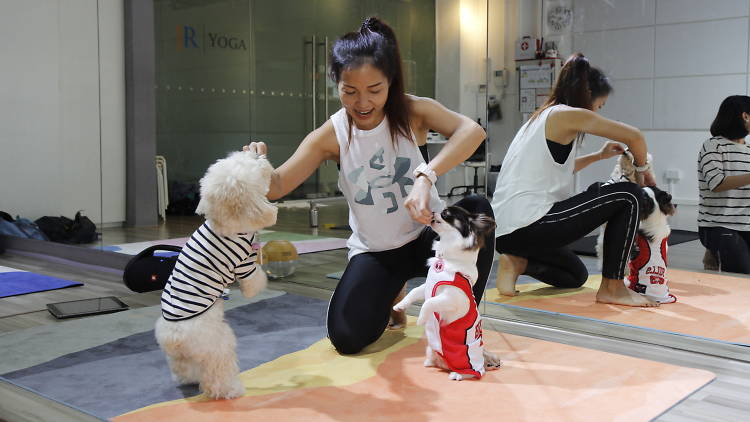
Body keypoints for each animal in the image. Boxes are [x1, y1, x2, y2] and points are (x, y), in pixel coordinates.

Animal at [156, 151, 280, 398]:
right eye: (252, 164)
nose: (258, 152)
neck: (223, 222)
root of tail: (174, 337)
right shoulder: (244, 264)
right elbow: (254, 282)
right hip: (219, 343)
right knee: (217, 374)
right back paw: (231, 390)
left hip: (180, 356)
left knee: (182, 367)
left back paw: (189, 378)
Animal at [394, 206, 500, 380]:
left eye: (446, 214)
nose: (432, 212)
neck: (446, 259)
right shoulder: (427, 286)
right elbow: (414, 292)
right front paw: (399, 306)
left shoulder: (451, 299)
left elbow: (428, 302)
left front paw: (421, 319)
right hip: (432, 349)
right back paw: (431, 363)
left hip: (464, 357)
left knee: (475, 372)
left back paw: (458, 374)